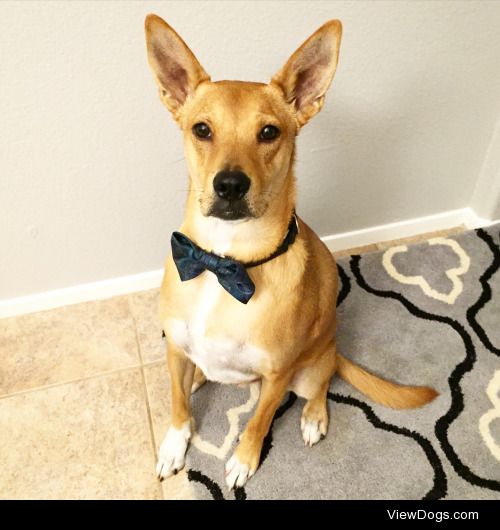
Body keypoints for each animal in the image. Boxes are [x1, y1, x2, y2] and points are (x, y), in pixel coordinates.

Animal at [145, 14, 438, 488]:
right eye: (202, 129)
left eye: (269, 132)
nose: (230, 185)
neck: (225, 263)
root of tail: (334, 347)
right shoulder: (174, 349)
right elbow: (177, 403)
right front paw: (174, 443)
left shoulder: (277, 374)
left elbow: (258, 421)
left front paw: (244, 460)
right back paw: (199, 378)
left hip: (310, 367)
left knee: (320, 387)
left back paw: (314, 417)